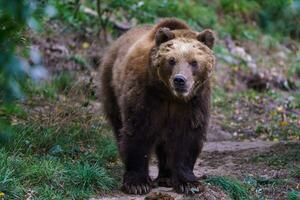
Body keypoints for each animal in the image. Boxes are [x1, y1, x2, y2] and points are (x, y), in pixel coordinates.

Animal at [100, 18, 216, 195]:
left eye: (194, 62)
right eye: (172, 60)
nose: (180, 80)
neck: (170, 95)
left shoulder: (194, 102)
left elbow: (188, 137)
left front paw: (189, 183)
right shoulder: (146, 95)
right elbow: (138, 132)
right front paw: (137, 183)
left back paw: (166, 177)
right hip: (111, 85)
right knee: (119, 125)